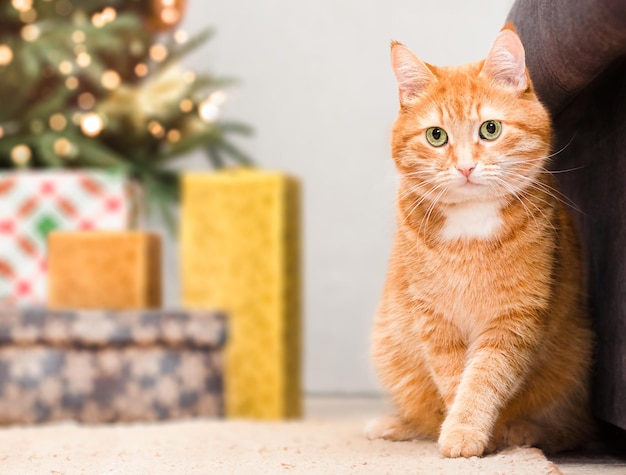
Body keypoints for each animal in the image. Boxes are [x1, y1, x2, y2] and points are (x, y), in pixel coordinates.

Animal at [368, 28, 592, 458]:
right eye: (436, 135)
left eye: (490, 129)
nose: (466, 166)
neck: (471, 226)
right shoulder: (435, 319)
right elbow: (455, 381)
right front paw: (460, 431)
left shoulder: (514, 318)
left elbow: (483, 380)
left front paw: (466, 431)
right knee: (422, 415)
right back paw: (394, 424)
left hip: (572, 362)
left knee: (570, 430)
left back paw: (523, 431)